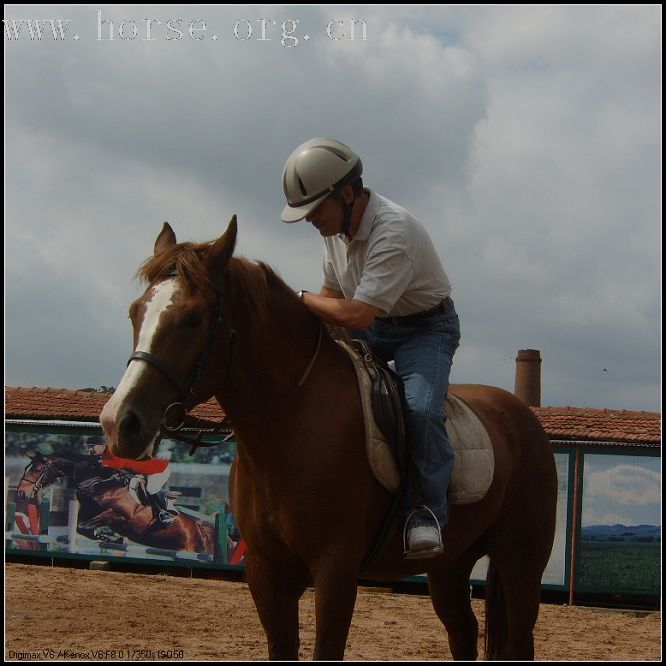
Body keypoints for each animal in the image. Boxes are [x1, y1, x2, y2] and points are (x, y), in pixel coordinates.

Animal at [16, 448, 213, 552]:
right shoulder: (89, 513)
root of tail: (205, 529)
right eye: (26, 468)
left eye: (37, 469)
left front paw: (106, 536)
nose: (21, 493)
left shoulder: (118, 515)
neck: (98, 480)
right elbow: (80, 527)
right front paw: (108, 538)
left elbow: (84, 527)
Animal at [98, 219, 556, 660]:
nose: (120, 422)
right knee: (463, 633)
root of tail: (522, 416)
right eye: (135, 312)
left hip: (520, 564)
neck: (291, 425)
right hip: (449, 565)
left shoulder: (335, 571)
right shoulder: (266, 572)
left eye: (193, 317)